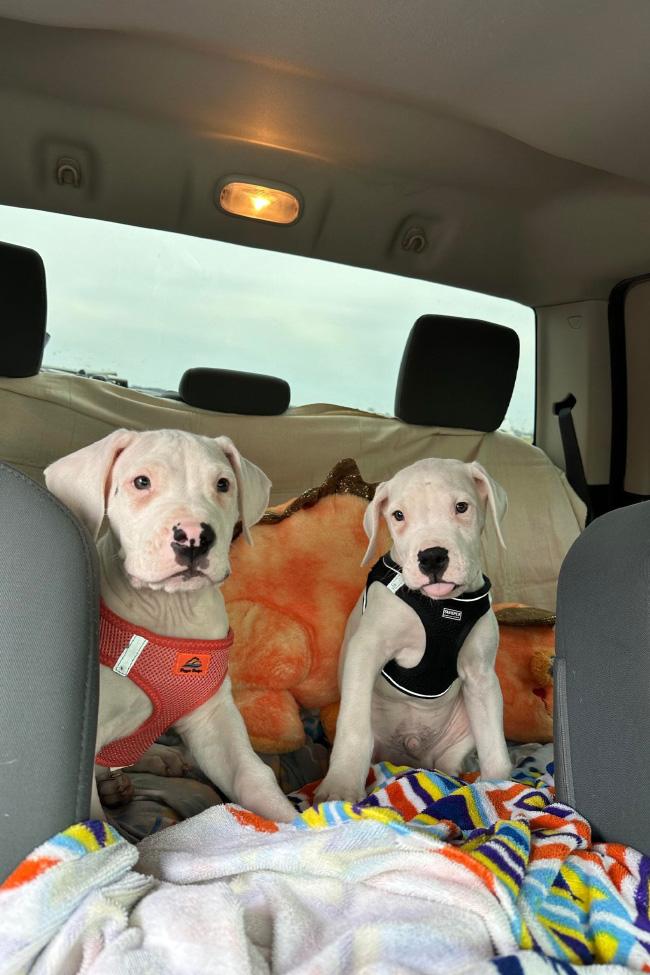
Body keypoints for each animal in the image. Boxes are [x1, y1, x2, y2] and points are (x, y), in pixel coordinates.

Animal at [46, 428, 294, 824]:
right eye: (141, 482)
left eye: (223, 484)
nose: (194, 537)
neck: (170, 609)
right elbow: (94, 814)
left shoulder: (213, 719)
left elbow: (252, 775)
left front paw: (292, 823)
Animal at [314, 462, 512, 804]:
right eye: (398, 515)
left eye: (462, 507)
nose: (432, 557)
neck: (440, 607)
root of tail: (408, 758)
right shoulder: (365, 651)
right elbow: (354, 727)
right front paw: (341, 786)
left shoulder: (481, 674)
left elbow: (493, 740)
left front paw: (499, 785)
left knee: (452, 756)